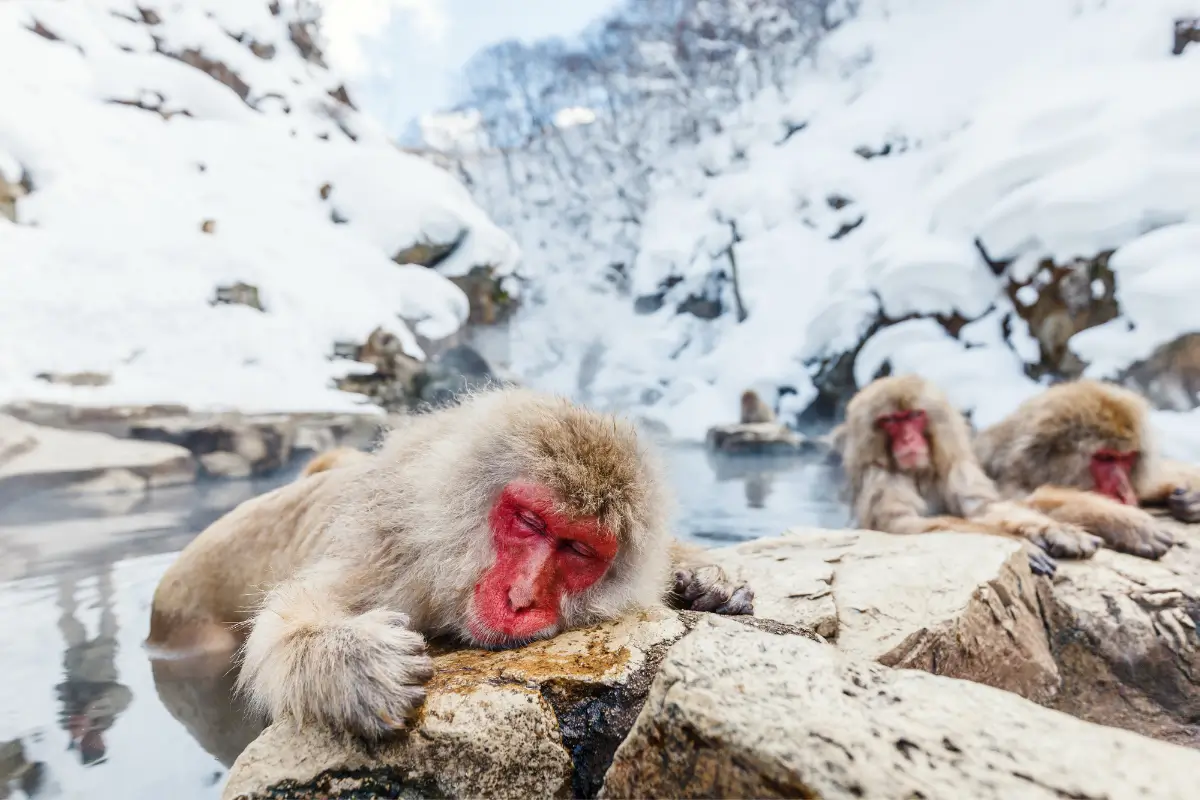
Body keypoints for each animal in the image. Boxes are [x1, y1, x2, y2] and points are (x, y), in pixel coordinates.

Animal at [146, 388, 754, 739]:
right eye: (530, 523)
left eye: (578, 549)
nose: (522, 597)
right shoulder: (393, 560)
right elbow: (289, 619)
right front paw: (351, 661)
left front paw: (709, 579)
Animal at [840, 375, 1102, 576]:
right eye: (890, 421)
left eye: (914, 416)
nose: (908, 439)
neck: (918, 473)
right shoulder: (880, 477)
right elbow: (902, 524)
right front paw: (1021, 545)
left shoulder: (957, 467)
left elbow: (984, 509)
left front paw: (1054, 530)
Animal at [975, 379, 1200, 560]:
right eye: (1106, 458)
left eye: (1126, 458)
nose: (1124, 492)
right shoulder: (1007, 482)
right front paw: (1124, 522)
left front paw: (1192, 491)